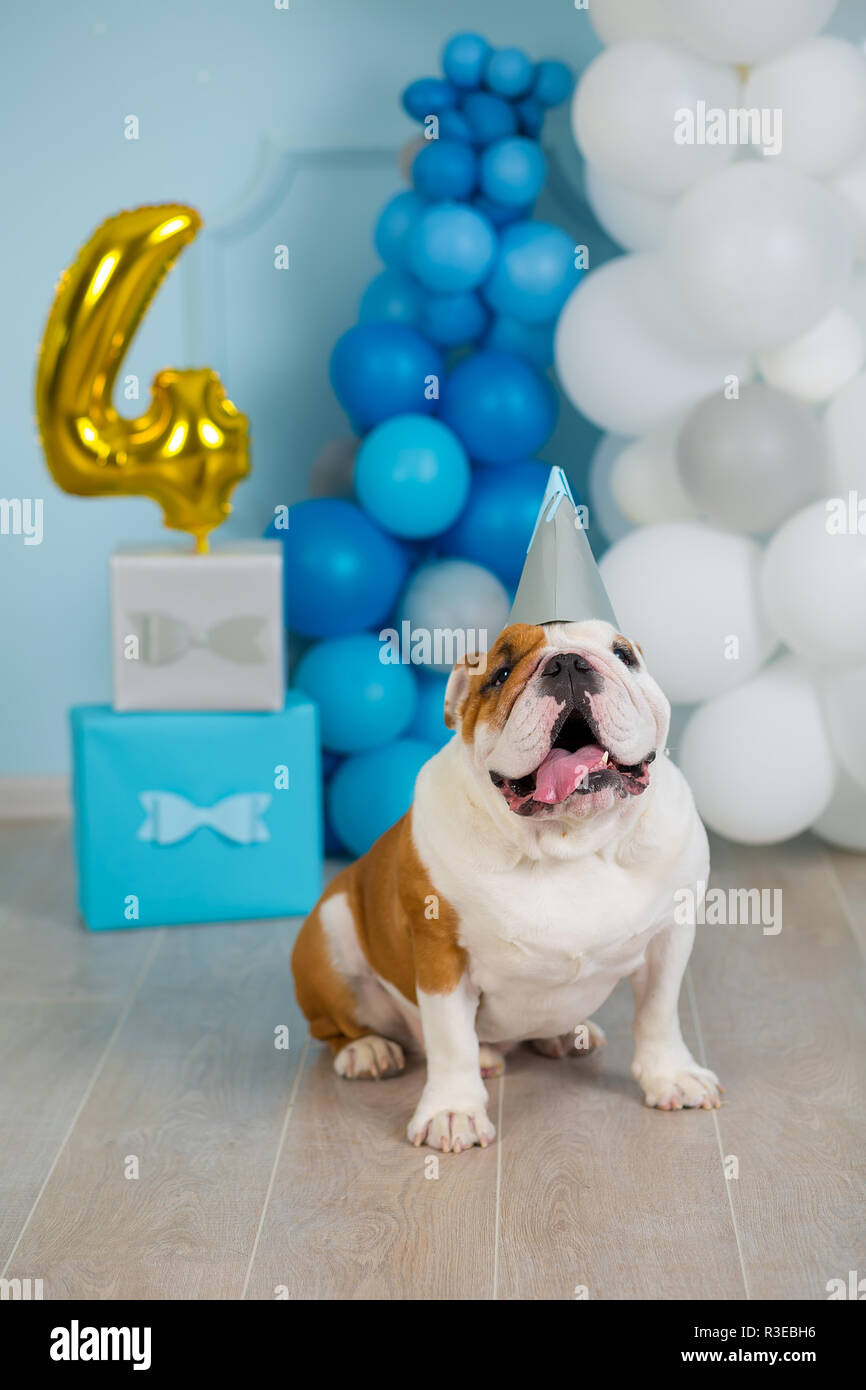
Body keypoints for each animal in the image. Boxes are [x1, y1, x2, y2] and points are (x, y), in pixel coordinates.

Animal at [291, 619, 717, 1150]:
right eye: (500, 673)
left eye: (624, 656)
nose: (569, 663)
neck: (571, 841)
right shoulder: (441, 953)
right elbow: (451, 1038)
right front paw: (453, 1110)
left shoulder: (670, 936)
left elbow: (659, 1011)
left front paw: (671, 1075)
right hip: (329, 932)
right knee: (337, 1027)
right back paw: (369, 1050)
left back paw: (562, 1034)